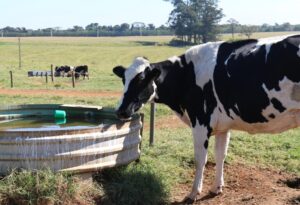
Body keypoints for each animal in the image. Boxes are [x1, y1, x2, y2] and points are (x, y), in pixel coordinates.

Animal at [112, 34, 300, 203]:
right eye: (123, 79)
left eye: (142, 80)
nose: (121, 110)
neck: (186, 75)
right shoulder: (223, 125)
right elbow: (220, 155)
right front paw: (217, 188)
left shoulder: (200, 122)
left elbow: (200, 158)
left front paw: (194, 193)